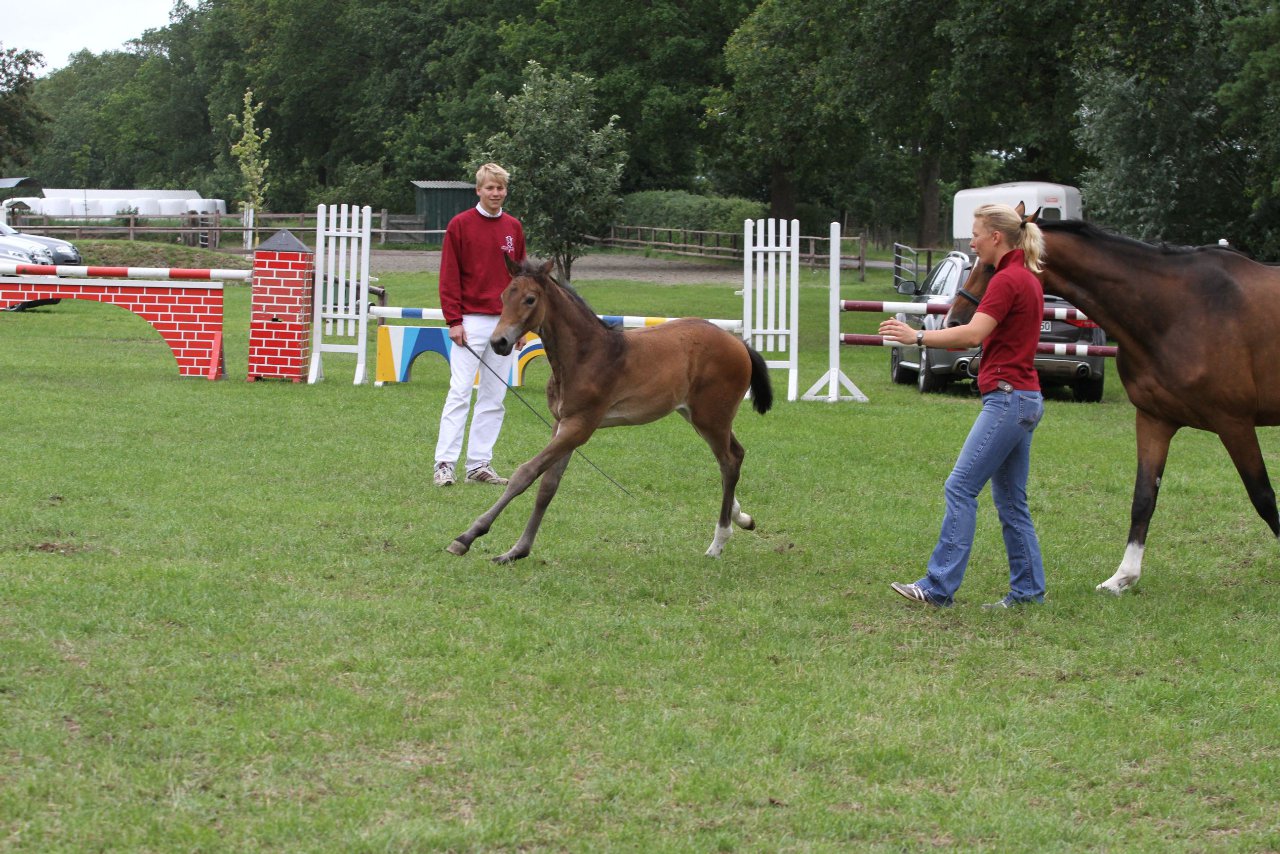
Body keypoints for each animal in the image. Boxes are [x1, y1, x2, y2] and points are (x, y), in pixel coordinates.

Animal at [445, 257, 773, 563]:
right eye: (503, 297)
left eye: (530, 299)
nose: (499, 342)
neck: (585, 355)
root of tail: (739, 343)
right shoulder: (562, 424)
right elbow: (548, 485)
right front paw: (517, 550)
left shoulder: (580, 426)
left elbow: (525, 474)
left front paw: (466, 537)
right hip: (699, 416)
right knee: (734, 456)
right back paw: (741, 517)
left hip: (711, 418)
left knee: (729, 461)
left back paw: (718, 542)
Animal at [947, 217, 1280, 594]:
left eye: (994, 266)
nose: (955, 321)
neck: (1179, 309)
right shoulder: (1154, 420)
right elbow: (1144, 498)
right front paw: (1123, 577)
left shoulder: (1234, 423)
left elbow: (1263, 496)